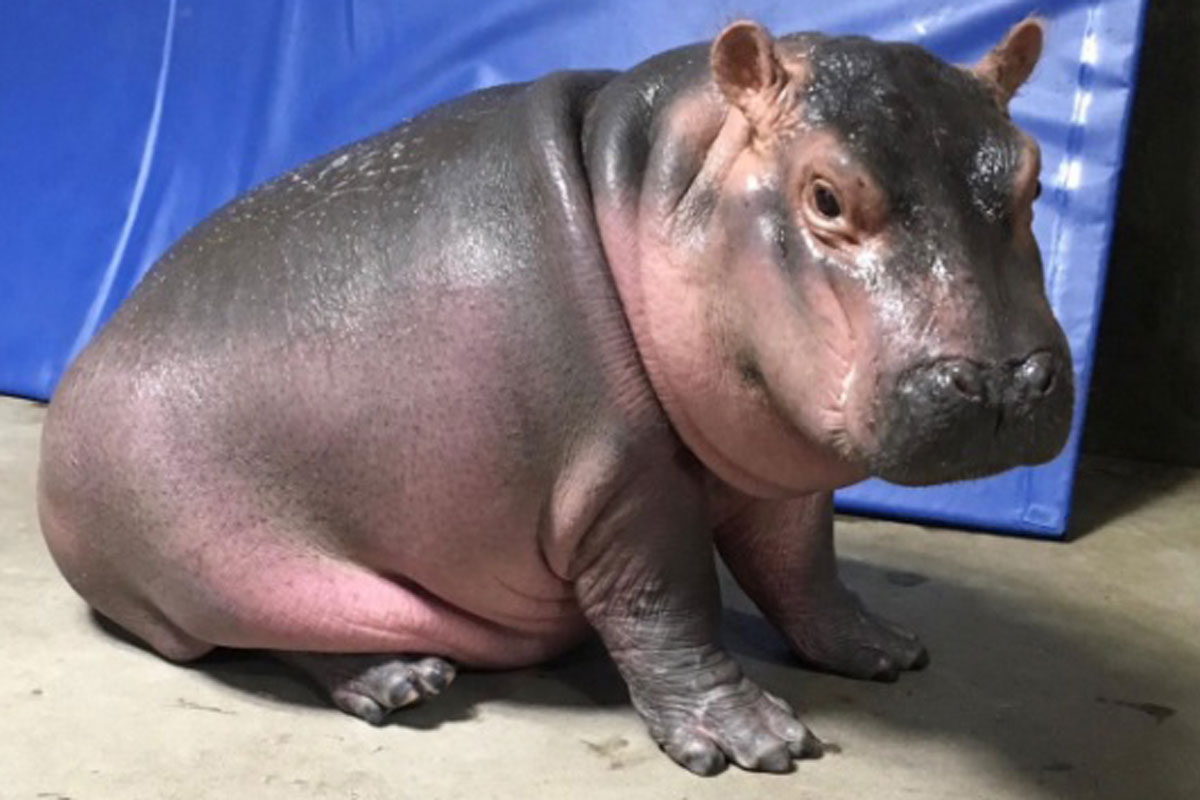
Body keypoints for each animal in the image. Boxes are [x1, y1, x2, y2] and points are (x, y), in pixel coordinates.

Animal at [38, 17, 1072, 775]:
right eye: (824, 195)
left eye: (1031, 175)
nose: (1003, 382)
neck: (662, 181)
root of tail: (81, 369)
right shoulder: (623, 484)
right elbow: (667, 601)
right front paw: (753, 742)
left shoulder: (775, 467)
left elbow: (801, 567)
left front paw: (883, 649)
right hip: (213, 571)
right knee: (267, 632)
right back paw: (399, 681)